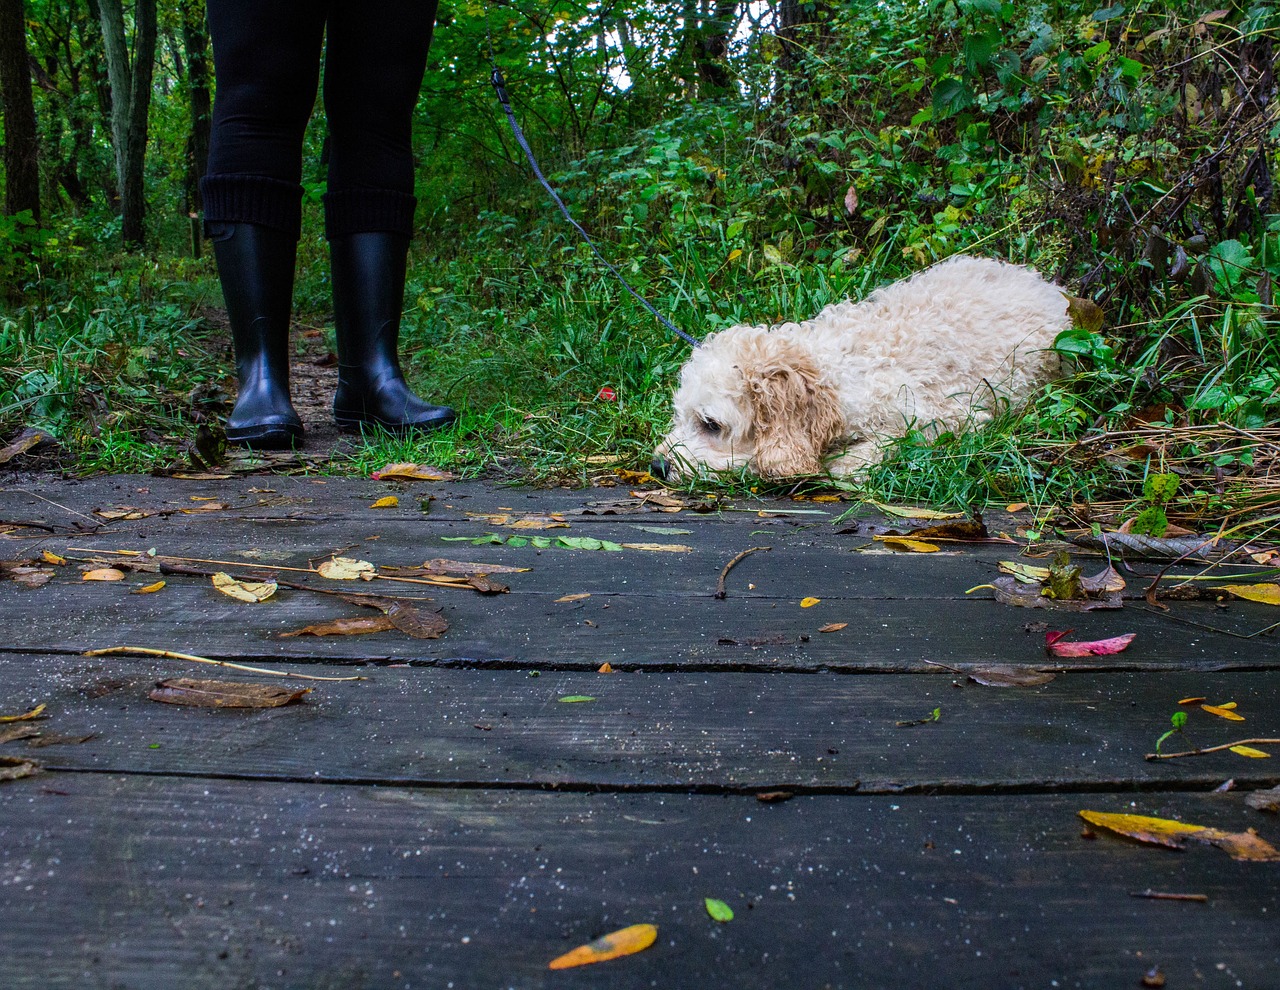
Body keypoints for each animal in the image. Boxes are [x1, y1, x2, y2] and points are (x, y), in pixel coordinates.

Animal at [655, 254, 1075, 478]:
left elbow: (889, 443)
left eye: (711, 425)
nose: (657, 466)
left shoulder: (954, 416)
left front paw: (845, 462)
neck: (834, 374)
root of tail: (1047, 285)